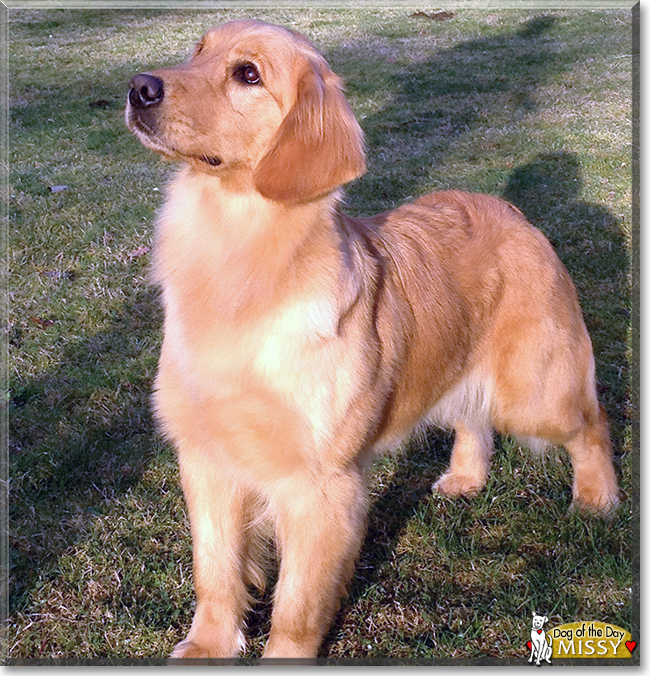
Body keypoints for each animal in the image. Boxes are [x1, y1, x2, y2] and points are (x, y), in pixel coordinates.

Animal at [125, 18, 616, 656]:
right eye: (197, 51)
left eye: (248, 74)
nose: (139, 87)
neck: (239, 257)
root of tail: (513, 212)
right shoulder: (206, 457)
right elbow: (216, 570)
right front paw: (209, 645)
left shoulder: (319, 484)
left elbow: (296, 604)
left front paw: (283, 654)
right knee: (473, 420)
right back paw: (465, 477)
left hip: (535, 392)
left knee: (592, 421)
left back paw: (597, 497)